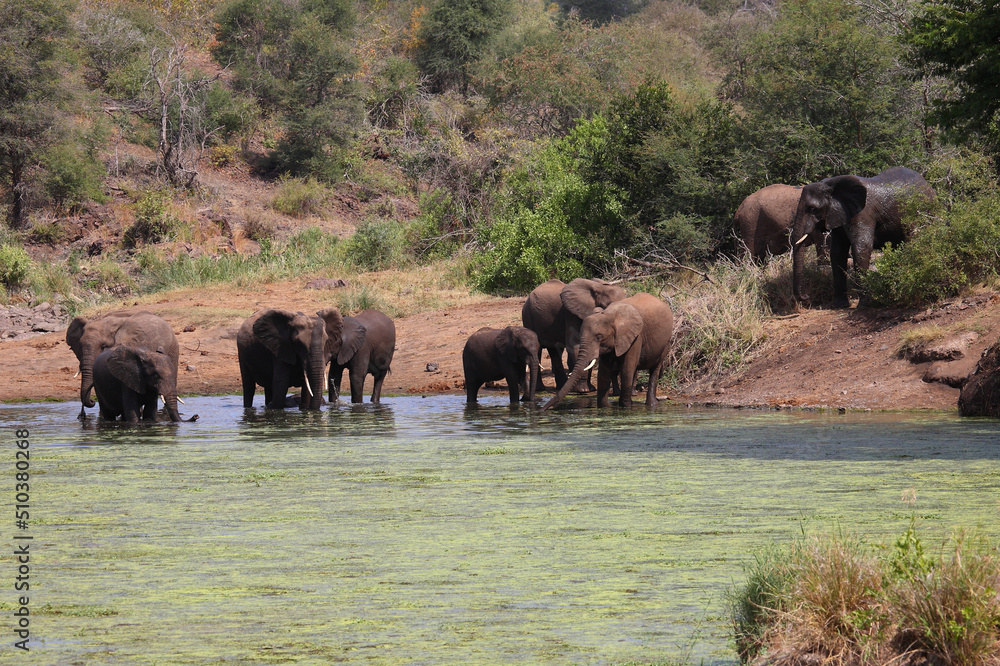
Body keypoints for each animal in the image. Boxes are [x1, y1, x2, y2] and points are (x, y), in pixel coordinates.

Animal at [544, 292, 676, 410]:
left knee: (654, 370)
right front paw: (604, 408)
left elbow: (626, 370)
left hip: (666, 342)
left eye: (599, 337)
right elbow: (603, 372)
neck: (610, 315)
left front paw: (626, 408)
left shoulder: (636, 337)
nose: (542, 410)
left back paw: (652, 405)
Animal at [788, 166, 936, 306]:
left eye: (813, 209)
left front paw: (864, 304)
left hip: (926, 210)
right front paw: (839, 305)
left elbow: (861, 248)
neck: (830, 185)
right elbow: (837, 252)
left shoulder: (863, 213)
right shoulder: (838, 214)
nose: (807, 298)